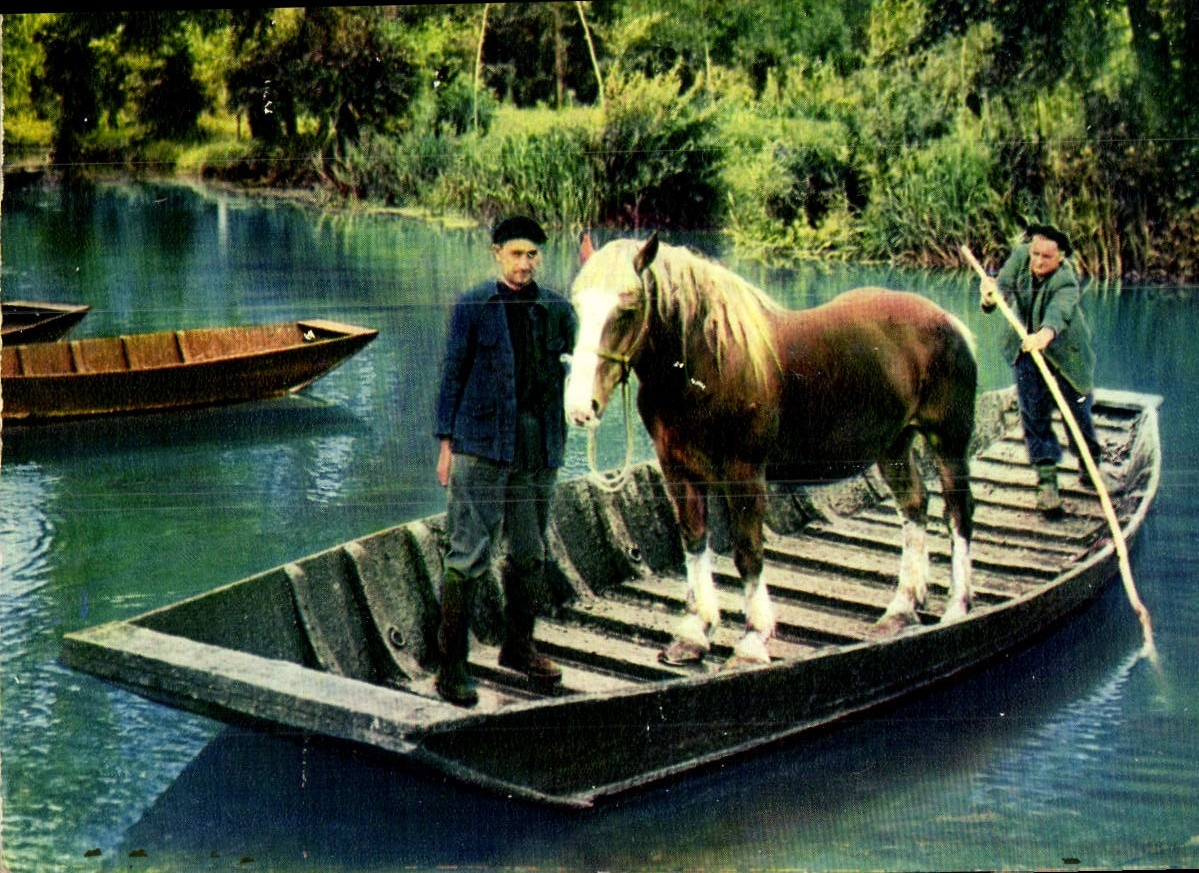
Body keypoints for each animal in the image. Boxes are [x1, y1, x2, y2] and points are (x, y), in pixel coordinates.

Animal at [564, 233, 977, 667]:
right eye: (578, 306)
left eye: (628, 308)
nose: (580, 408)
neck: (706, 365)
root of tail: (948, 321)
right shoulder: (678, 471)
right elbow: (694, 541)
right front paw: (694, 633)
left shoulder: (743, 473)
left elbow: (748, 553)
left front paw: (752, 640)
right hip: (894, 446)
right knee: (914, 506)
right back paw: (902, 608)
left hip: (949, 443)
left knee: (958, 514)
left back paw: (957, 606)